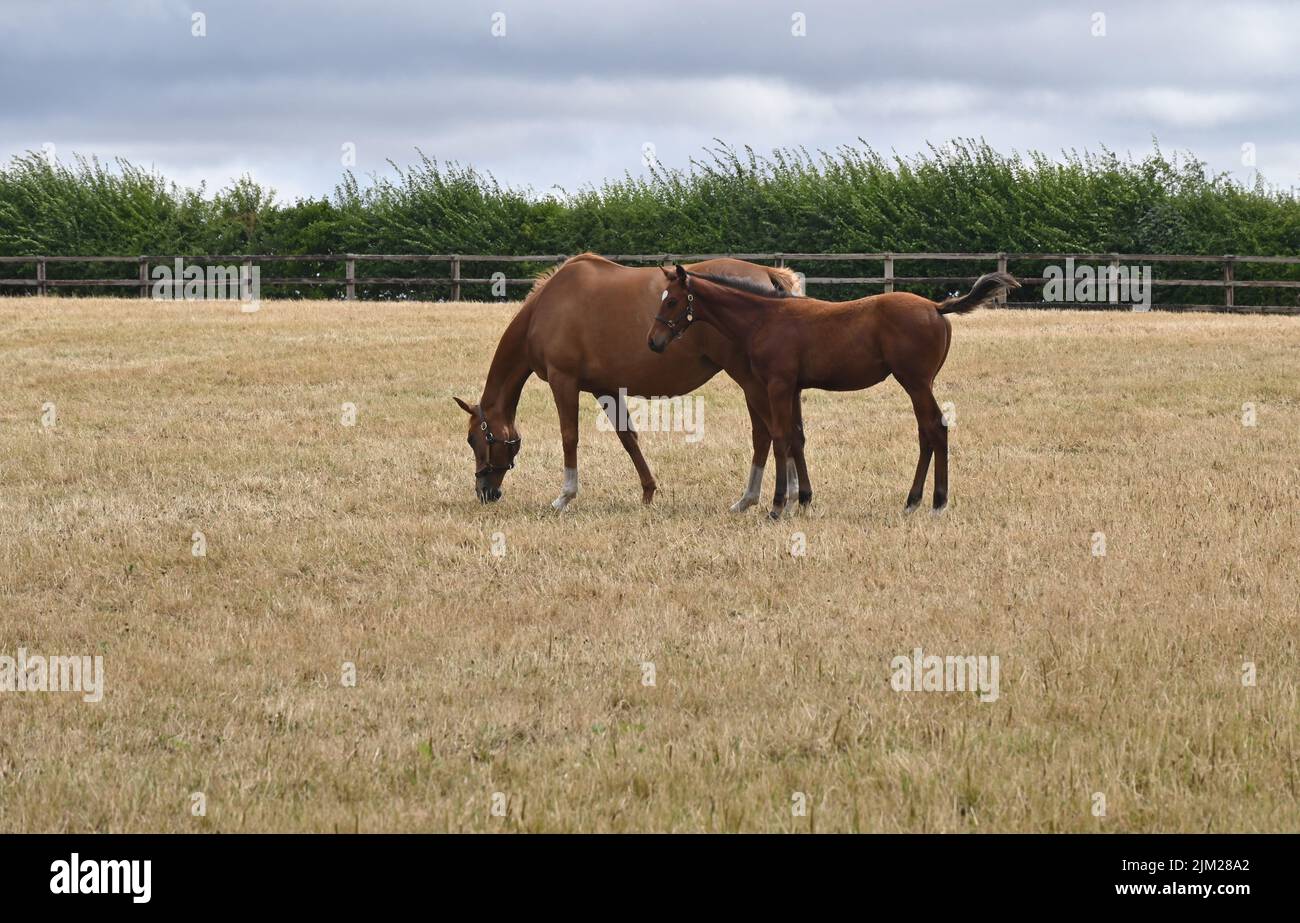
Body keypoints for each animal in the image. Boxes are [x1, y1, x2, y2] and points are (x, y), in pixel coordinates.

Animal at [454, 253, 800, 512]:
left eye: (474, 439)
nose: (484, 491)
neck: (545, 308)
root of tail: (767, 273)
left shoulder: (563, 380)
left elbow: (569, 437)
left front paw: (565, 497)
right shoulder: (604, 388)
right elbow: (628, 437)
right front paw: (648, 491)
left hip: (749, 380)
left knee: (767, 433)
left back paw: (758, 497)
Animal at [647, 265, 1013, 520]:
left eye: (673, 301)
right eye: (662, 300)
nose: (653, 342)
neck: (765, 319)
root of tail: (937, 307)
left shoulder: (778, 385)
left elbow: (780, 438)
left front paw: (778, 506)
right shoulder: (793, 387)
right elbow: (796, 437)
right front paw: (804, 499)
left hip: (916, 382)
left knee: (935, 428)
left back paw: (936, 503)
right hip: (919, 384)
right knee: (927, 431)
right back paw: (914, 501)